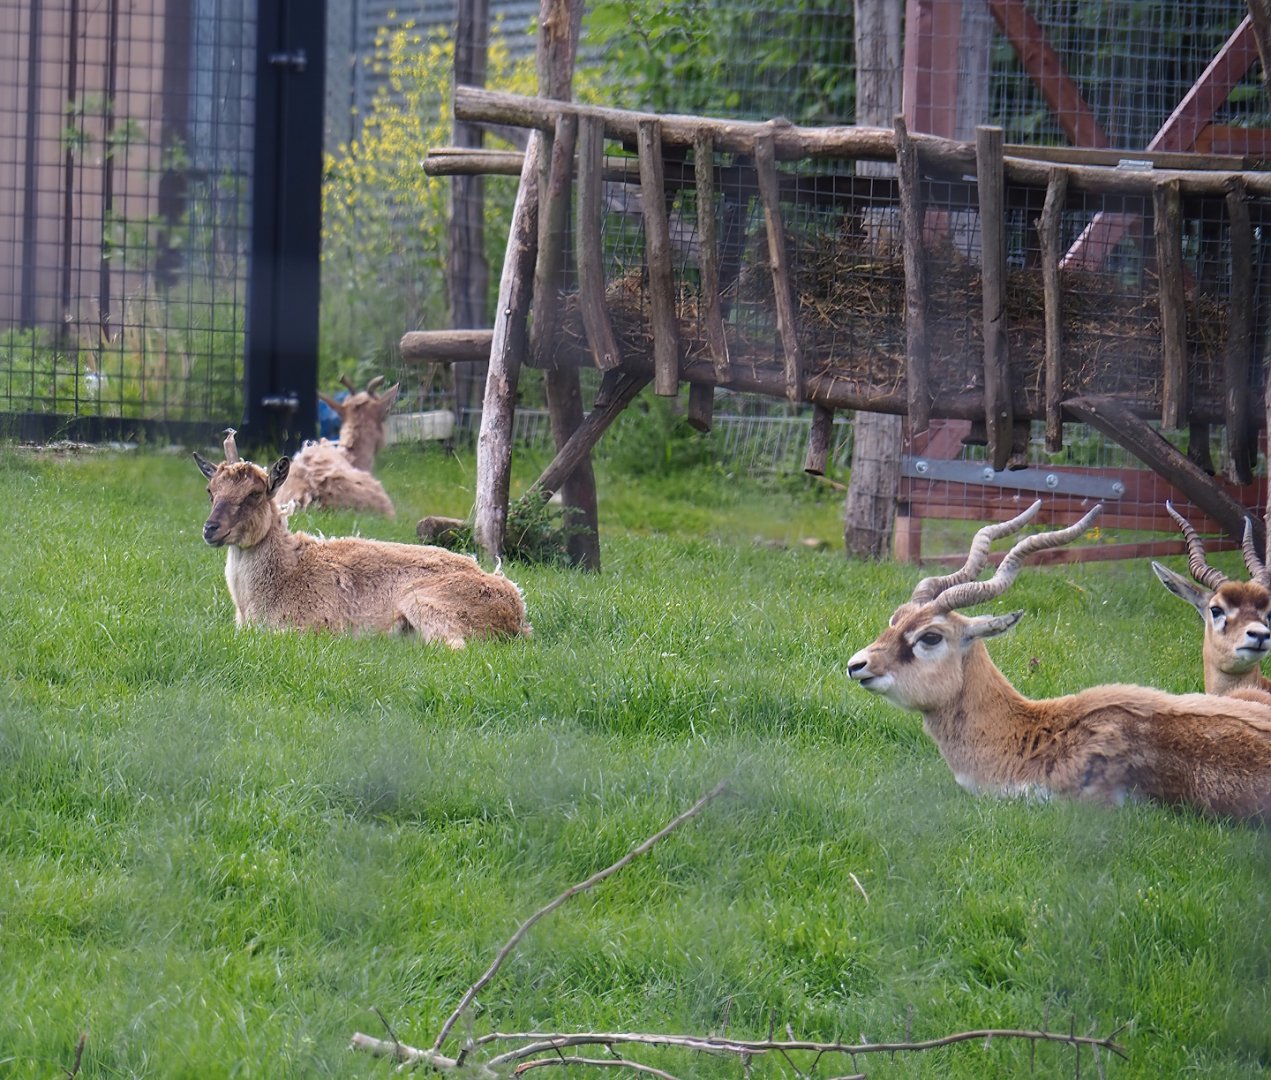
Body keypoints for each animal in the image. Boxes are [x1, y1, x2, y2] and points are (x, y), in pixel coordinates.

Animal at [193, 431, 530, 647]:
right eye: (211, 491)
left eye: (254, 494)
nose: (211, 529)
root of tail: (516, 613)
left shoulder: (317, 624)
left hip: (425, 602)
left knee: (454, 646)